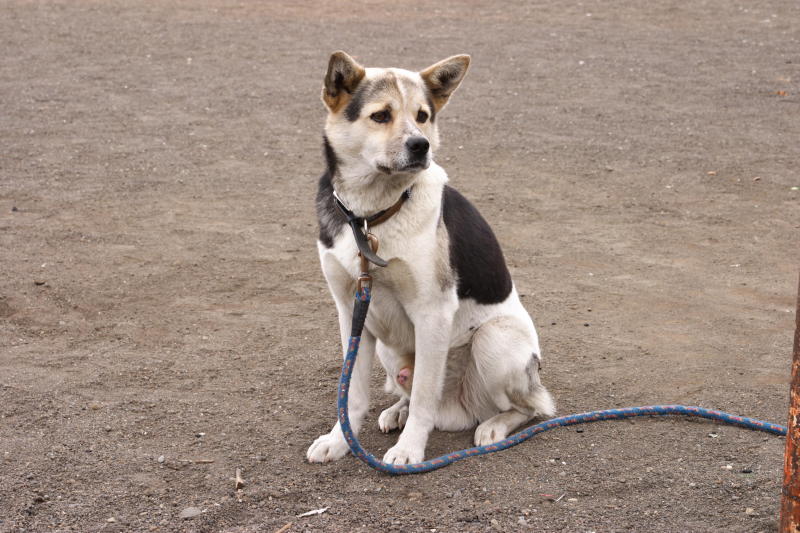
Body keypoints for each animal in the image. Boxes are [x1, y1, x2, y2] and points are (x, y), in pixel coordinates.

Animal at [304, 52, 552, 464]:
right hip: (386, 345)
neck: (373, 216)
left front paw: (408, 450)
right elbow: (351, 392)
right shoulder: (351, 309)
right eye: (381, 115)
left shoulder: (431, 312)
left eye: (422, 115)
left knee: (533, 406)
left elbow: (423, 395)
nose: (420, 145)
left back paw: (495, 427)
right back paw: (397, 411)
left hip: (493, 341)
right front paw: (340, 440)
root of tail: (457, 410)